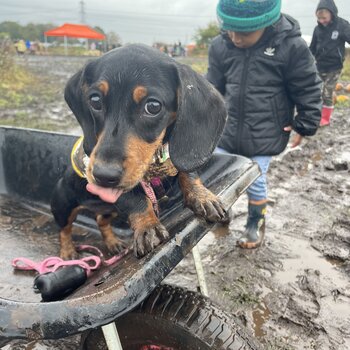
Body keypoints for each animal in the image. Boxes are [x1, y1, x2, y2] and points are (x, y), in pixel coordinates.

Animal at [50, 43, 228, 258]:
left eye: (153, 106)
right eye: (95, 100)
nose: (103, 177)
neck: (153, 163)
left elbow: (186, 171)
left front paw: (202, 196)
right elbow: (135, 197)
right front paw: (147, 225)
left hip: (108, 209)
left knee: (101, 220)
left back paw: (112, 243)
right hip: (62, 205)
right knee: (64, 229)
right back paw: (68, 251)